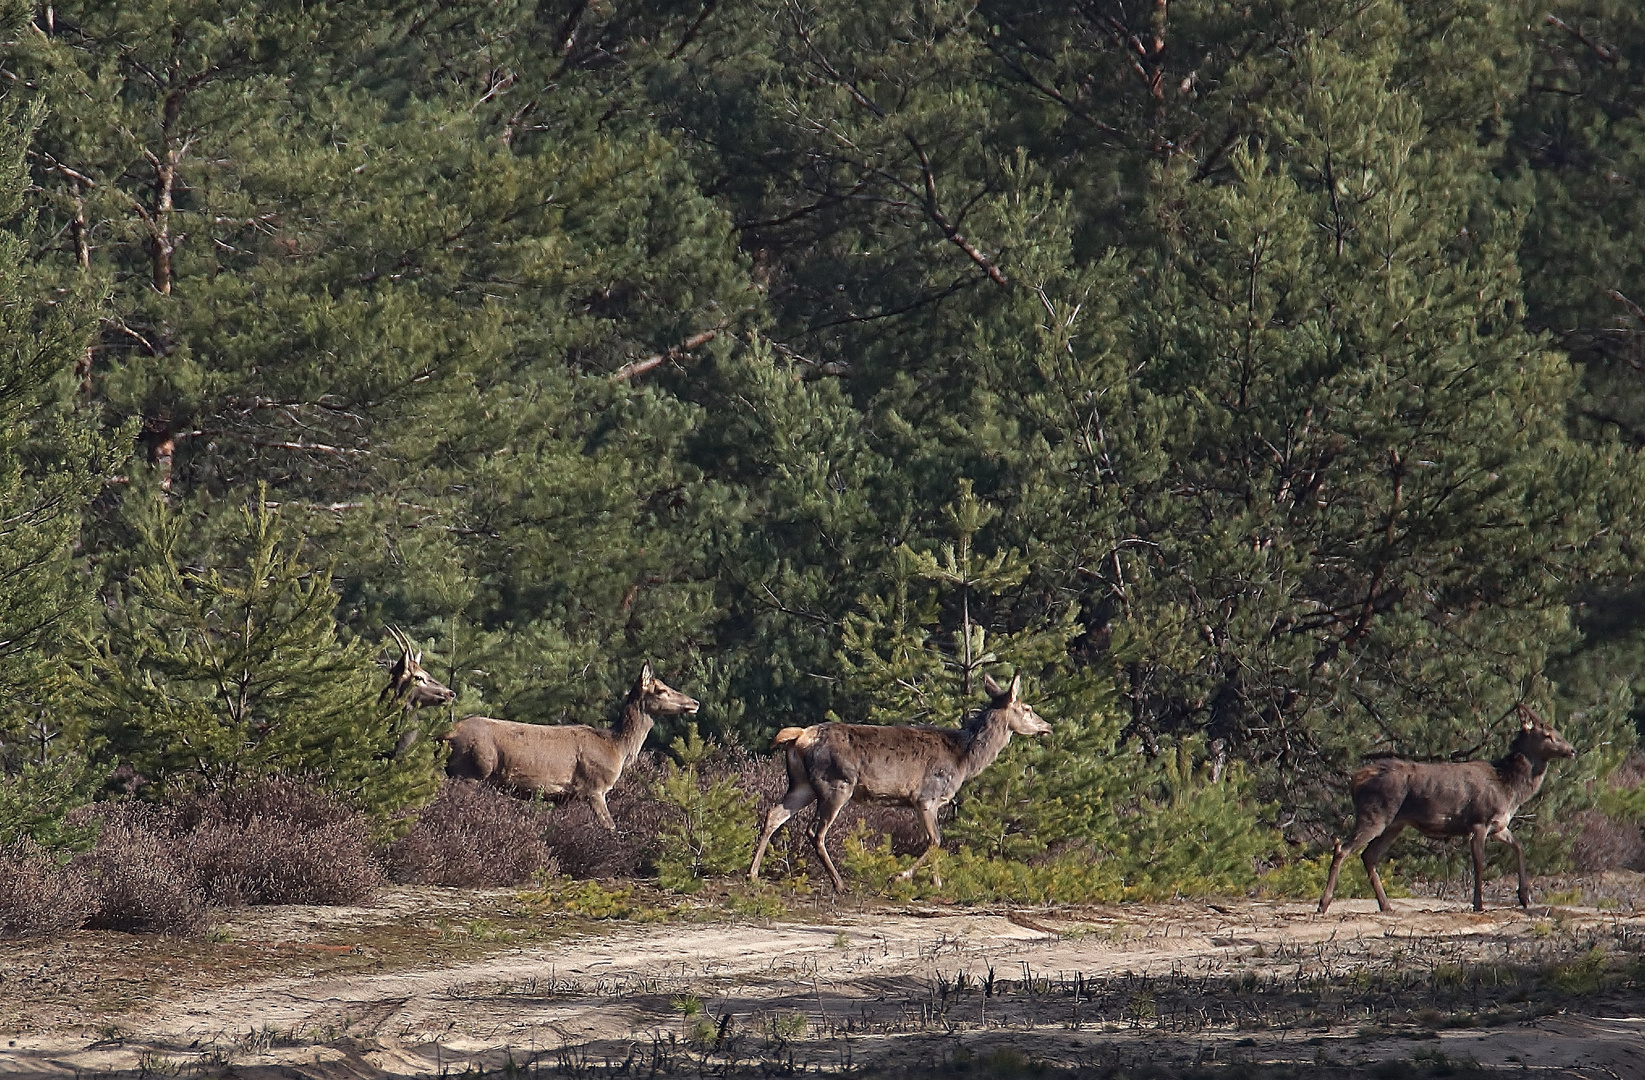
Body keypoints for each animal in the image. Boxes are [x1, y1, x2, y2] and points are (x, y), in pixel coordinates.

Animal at [444, 660, 694, 828]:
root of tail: (447, 733)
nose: (694, 702)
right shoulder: (595, 786)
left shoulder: (562, 797)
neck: (617, 747)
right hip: (471, 771)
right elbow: (610, 827)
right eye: (661, 689)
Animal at [750, 673, 1052, 894]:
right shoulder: (926, 796)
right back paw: (839, 883)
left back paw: (752, 873)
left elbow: (935, 842)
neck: (964, 760)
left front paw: (937, 884)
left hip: (802, 785)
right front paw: (901, 876)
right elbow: (935, 840)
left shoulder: (925, 803)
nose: (1048, 726)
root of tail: (800, 736)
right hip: (836, 783)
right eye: (1027, 708)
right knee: (815, 831)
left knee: (774, 814)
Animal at [1316, 703, 1572, 913]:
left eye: (1557, 732)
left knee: (1369, 855)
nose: (1571, 750)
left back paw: (1386, 905)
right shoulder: (1479, 820)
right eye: (1548, 735)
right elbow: (1479, 861)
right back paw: (1324, 903)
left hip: (1395, 824)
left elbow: (1519, 846)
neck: (1509, 790)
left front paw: (1525, 897)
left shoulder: (1498, 825)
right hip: (1375, 814)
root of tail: (1355, 781)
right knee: (1343, 848)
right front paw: (1479, 904)